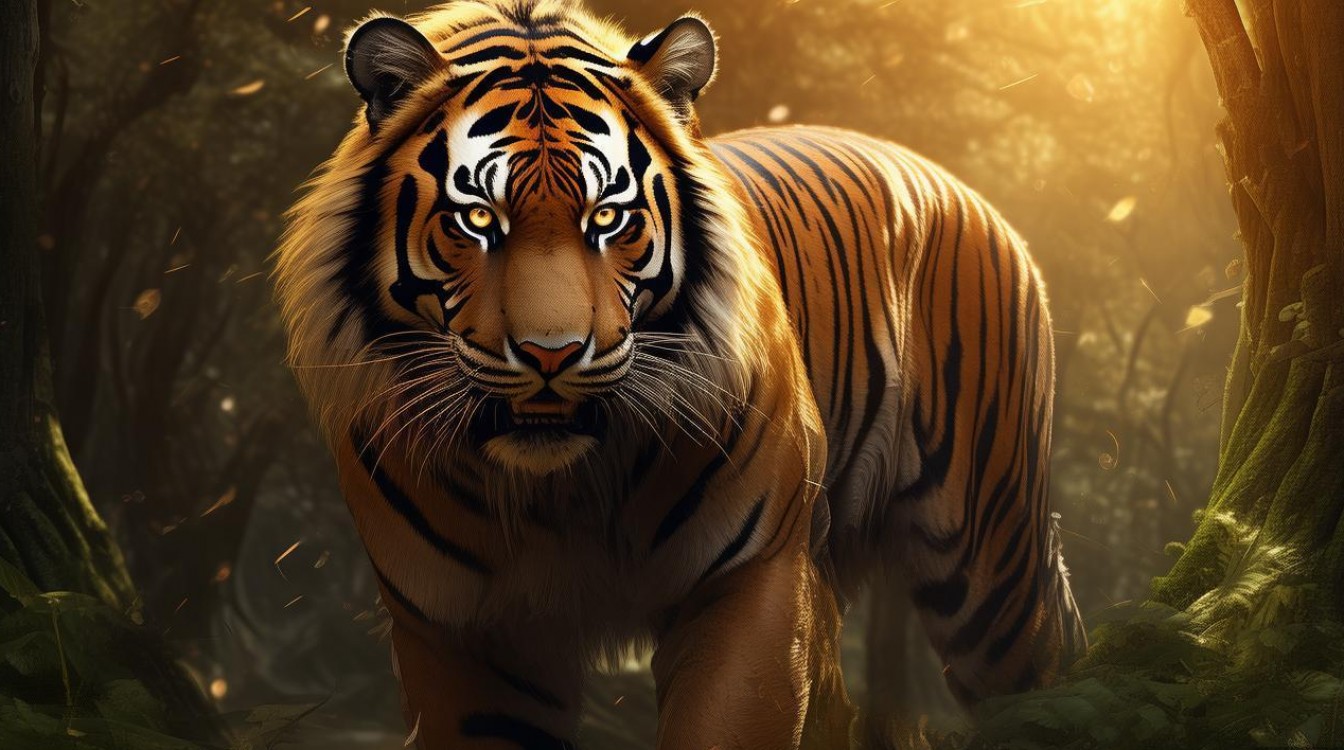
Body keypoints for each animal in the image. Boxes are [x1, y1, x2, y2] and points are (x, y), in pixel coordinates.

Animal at [273, 0, 1087, 747]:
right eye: (476, 220)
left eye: (608, 218)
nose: (550, 356)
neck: (560, 489)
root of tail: (959, 187)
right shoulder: (466, 631)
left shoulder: (751, 581)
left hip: (989, 564)